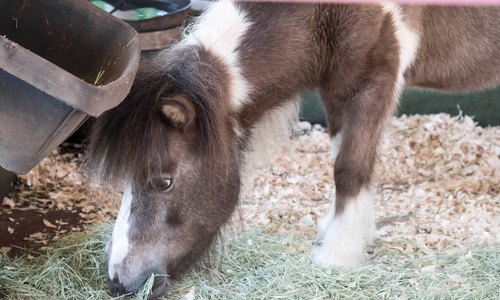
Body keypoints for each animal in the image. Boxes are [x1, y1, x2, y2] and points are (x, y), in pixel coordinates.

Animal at [85, 0, 500, 296]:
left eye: (164, 181)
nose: (116, 280)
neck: (322, 12)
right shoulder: (336, 88)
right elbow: (339, 157)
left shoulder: (372, 81)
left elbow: (351, 168)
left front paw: (337, 256)